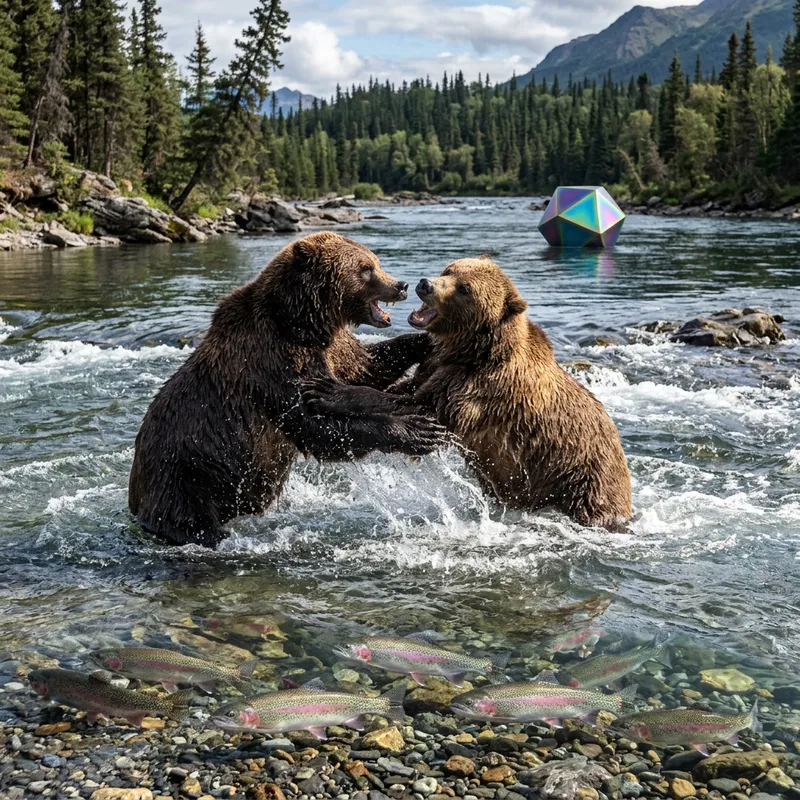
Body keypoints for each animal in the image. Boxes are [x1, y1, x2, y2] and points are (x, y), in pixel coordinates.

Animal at [128, 231, 448, 548]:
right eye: (366, 268)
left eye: (375, 262)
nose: (400, 285)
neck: (304, 323)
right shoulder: (271, 362)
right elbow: (315, 425)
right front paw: (417, 430)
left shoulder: (331, 349)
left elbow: (366, 369)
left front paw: (423, 341)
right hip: (185, 475)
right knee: (190, 518)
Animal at [302, 256, 632, 531]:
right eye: (449, 269)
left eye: (464, 288)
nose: (425, 284)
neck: (470, 350)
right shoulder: (439, 368)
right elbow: (406, 389)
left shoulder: (478, 390)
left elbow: (419, 406)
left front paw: (326, 390)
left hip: (582, 479)